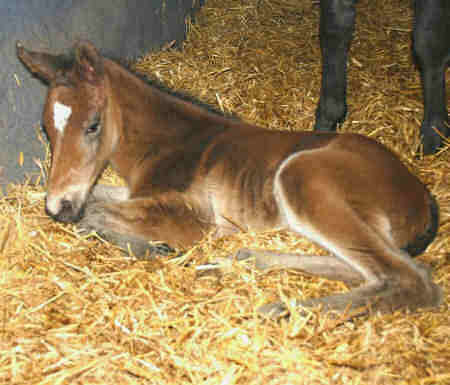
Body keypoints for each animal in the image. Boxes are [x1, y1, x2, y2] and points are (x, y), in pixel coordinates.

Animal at [15, 41, 442, 318]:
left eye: (92, 125)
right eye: (47, 129)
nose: (59, 206)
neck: (168, 142)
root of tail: (421, 193)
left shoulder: (194, 217)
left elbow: (94, 215)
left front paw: (153, 247)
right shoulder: (132, 191)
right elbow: (95, 203)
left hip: (300, 176)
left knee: (411, 278)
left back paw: (284, 309)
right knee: (375, 267)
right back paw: (241, 261)